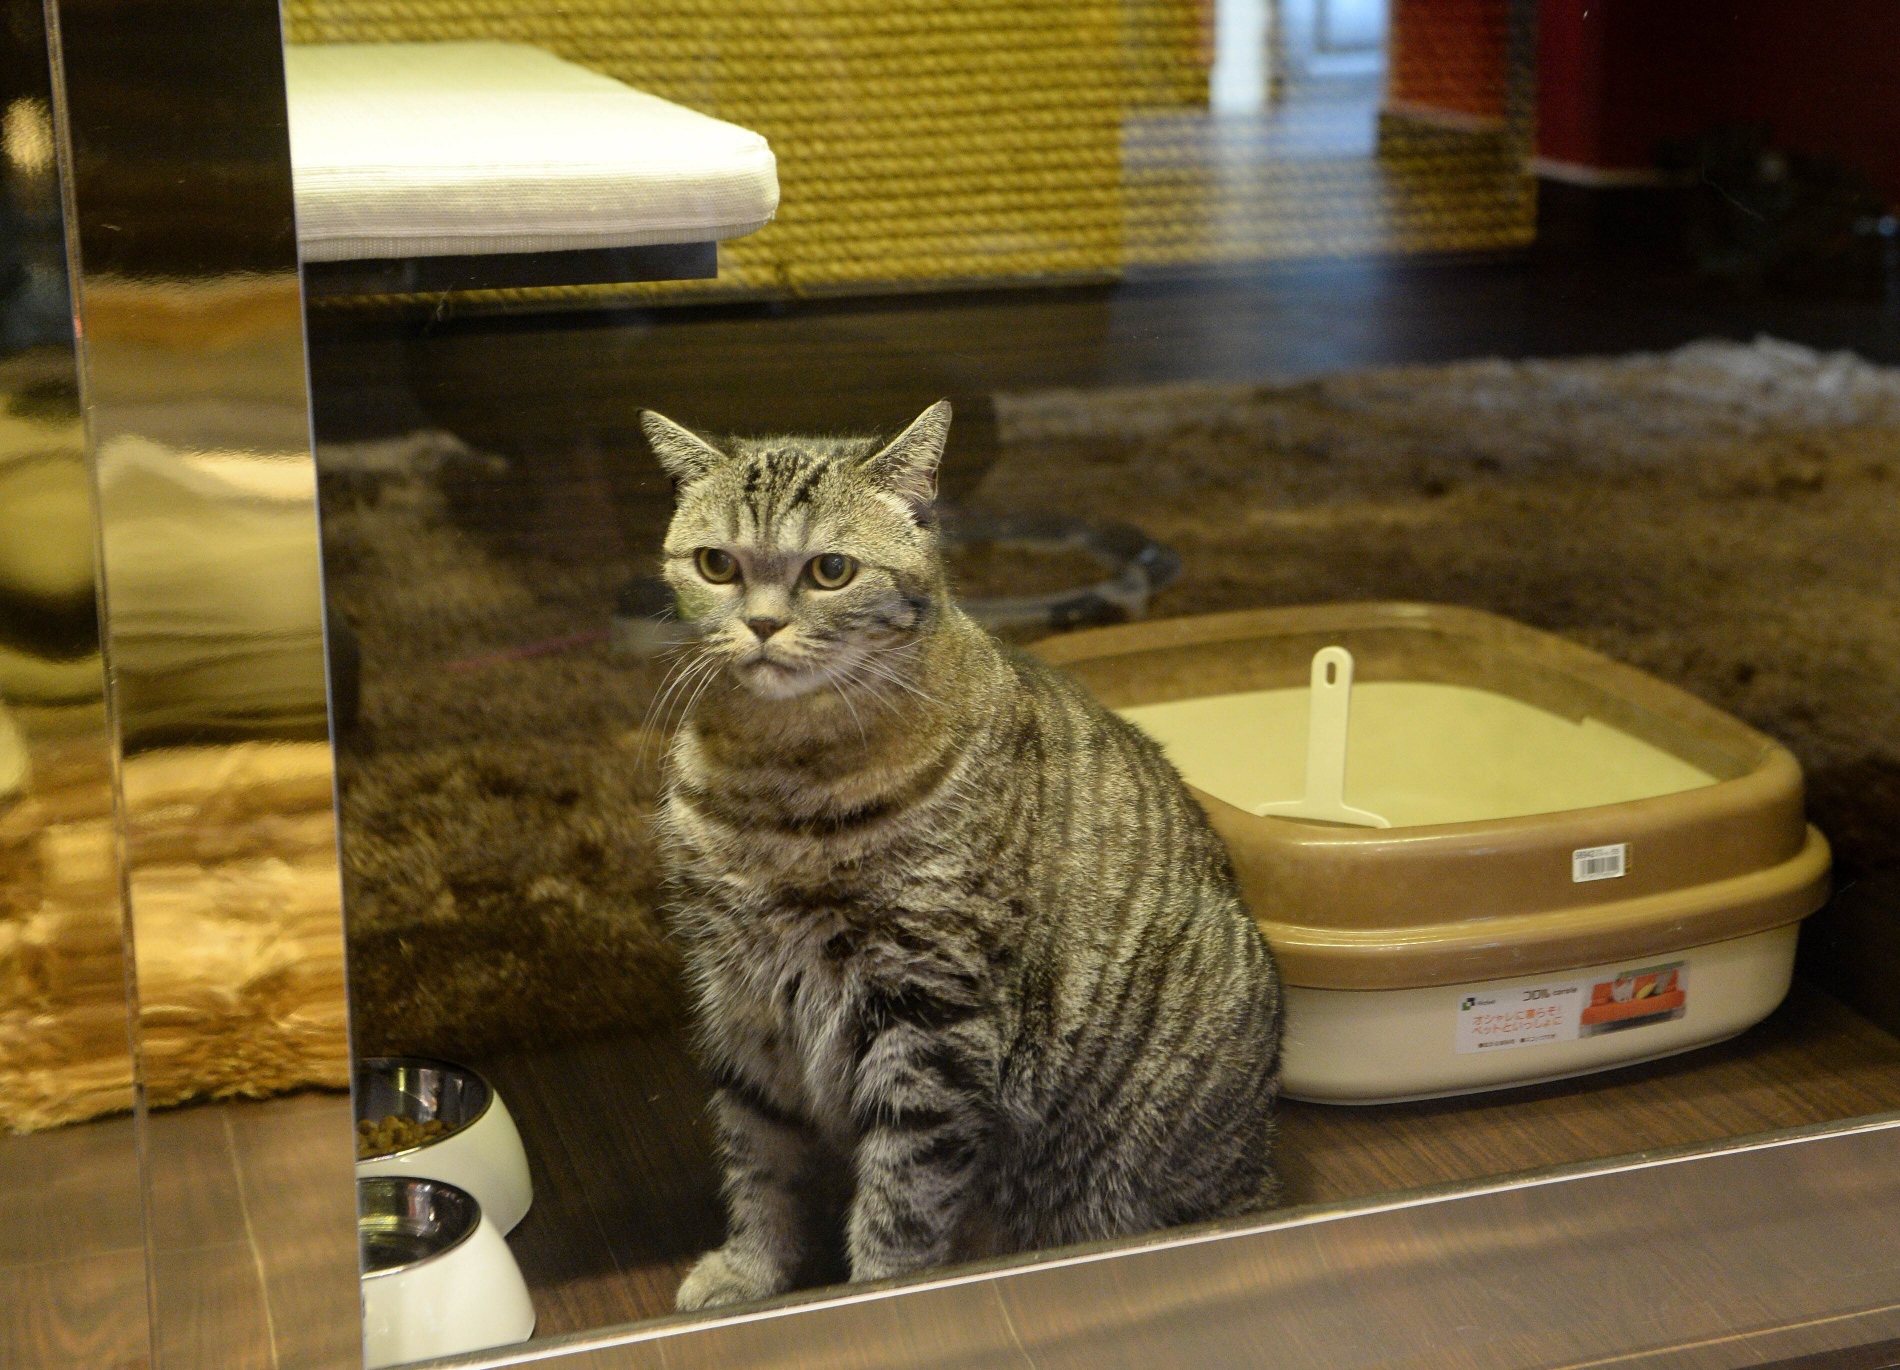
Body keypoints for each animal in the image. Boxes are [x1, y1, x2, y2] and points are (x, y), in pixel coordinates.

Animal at [646, 400, 1284, 1307]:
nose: (762, 624)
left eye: (830, 570)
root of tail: (1263, 1174)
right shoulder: (740, 1002)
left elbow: (901, 1205)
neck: (781, 775)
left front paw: (874, 1296)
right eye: (716, 564)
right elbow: (758, 1160)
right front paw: (750, 1268)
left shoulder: (928, 1019)